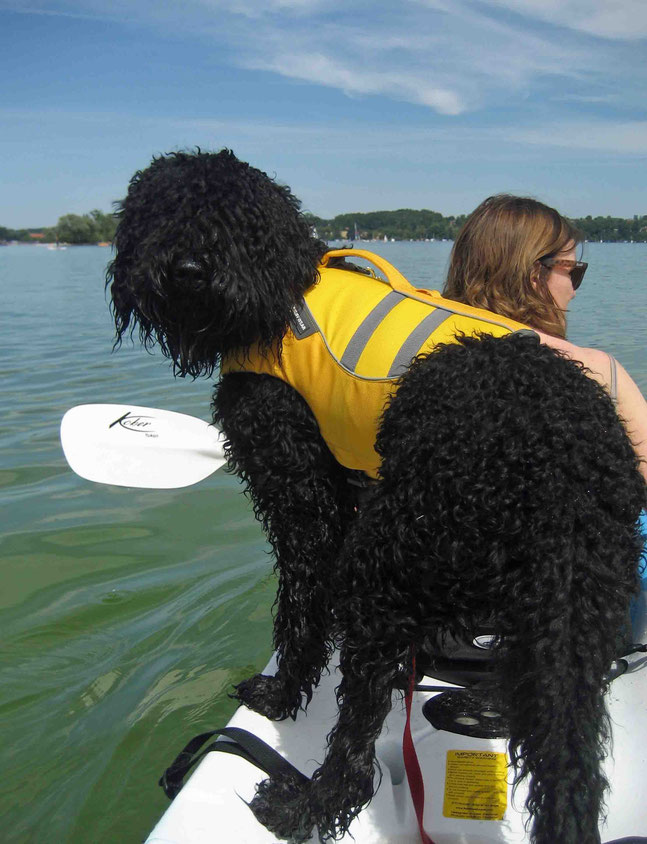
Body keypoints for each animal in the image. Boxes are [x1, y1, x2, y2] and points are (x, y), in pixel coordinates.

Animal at [109, 148, 644, 840]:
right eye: (159, 215)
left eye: (232, 221)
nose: (189, 270)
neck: (279, 289)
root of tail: (568, 471)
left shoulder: (300, 492)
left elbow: (302, 605)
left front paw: (282, 694)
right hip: (570, 618)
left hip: (386, 570)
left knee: (359, 742)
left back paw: (307, 802)